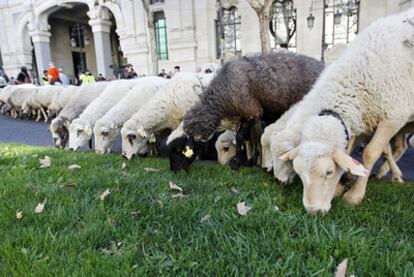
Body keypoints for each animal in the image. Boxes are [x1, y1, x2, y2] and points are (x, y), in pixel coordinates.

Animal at [167, 51, 324, 171]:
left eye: (179, 150)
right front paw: (252, 160)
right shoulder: (252, 114)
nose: (174, 170)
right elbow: (254, 138)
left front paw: (236, 163)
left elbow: (240, 137)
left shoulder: (250, 110)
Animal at [276, 7, 414, 212]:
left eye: (328, 172)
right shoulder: (358, 119)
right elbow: (349, 153)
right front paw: (342, 184)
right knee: (399, 148)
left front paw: (354, 194)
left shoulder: (393, 117)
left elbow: (370, 153)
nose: (313, 211)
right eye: (299, 173)